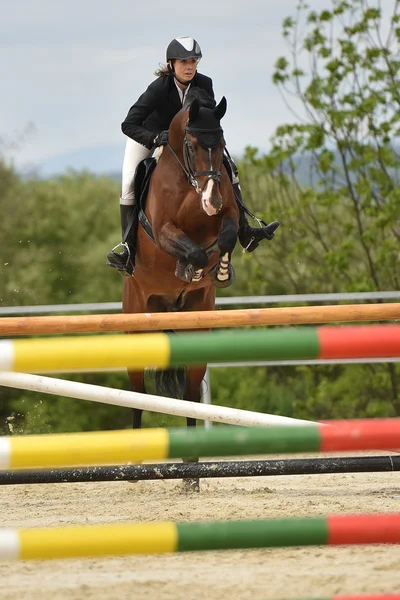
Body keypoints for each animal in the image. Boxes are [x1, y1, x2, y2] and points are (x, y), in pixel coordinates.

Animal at [122, 90, 239, 492]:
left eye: (221, 143)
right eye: (191, 145)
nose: (211, 201)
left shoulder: (228, 213)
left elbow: (228, 233)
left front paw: (219, 269)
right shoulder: (164, 229)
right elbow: (189, 248)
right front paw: (191, 266)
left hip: (195, 329)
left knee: (189, 397)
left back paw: (191, 473)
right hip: (136, 321)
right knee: (136, 393)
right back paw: (133, 469)